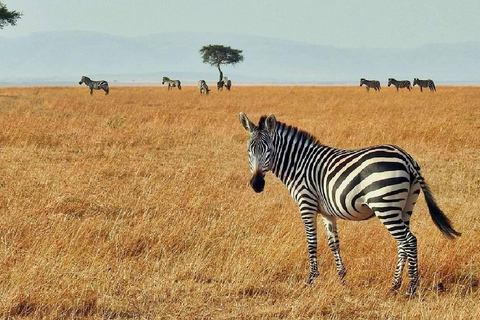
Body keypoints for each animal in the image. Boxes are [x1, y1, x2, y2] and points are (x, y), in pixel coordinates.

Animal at [238, 114, 460, 296]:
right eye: (249, 150)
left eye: (268, 149)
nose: (256, 184)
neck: (298, 164)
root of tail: (406, 158)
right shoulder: (327, 212)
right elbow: (333, 243)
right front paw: (342, 278)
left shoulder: (306, 204)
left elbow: (311, 242)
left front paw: (311, 279)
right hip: (405, 207)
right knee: (403, 243)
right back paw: (395, 285)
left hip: (385, 205)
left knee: (410, 240)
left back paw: (411, 288)